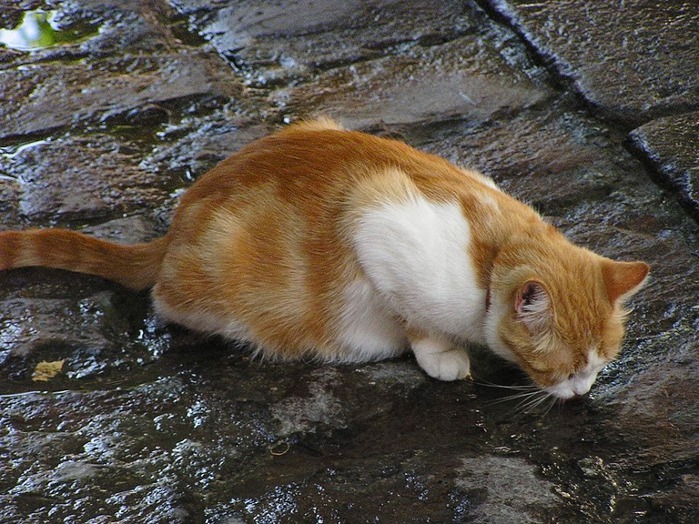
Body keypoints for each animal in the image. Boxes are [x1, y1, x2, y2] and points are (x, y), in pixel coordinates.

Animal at [0, 117, 652, 398]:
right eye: (566, 367)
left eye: (601, 362)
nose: (584, 391)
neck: (490, 252)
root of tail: (179, 221)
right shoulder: (378, 220)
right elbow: (418, 320)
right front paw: (441, 354)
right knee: (165, 298)